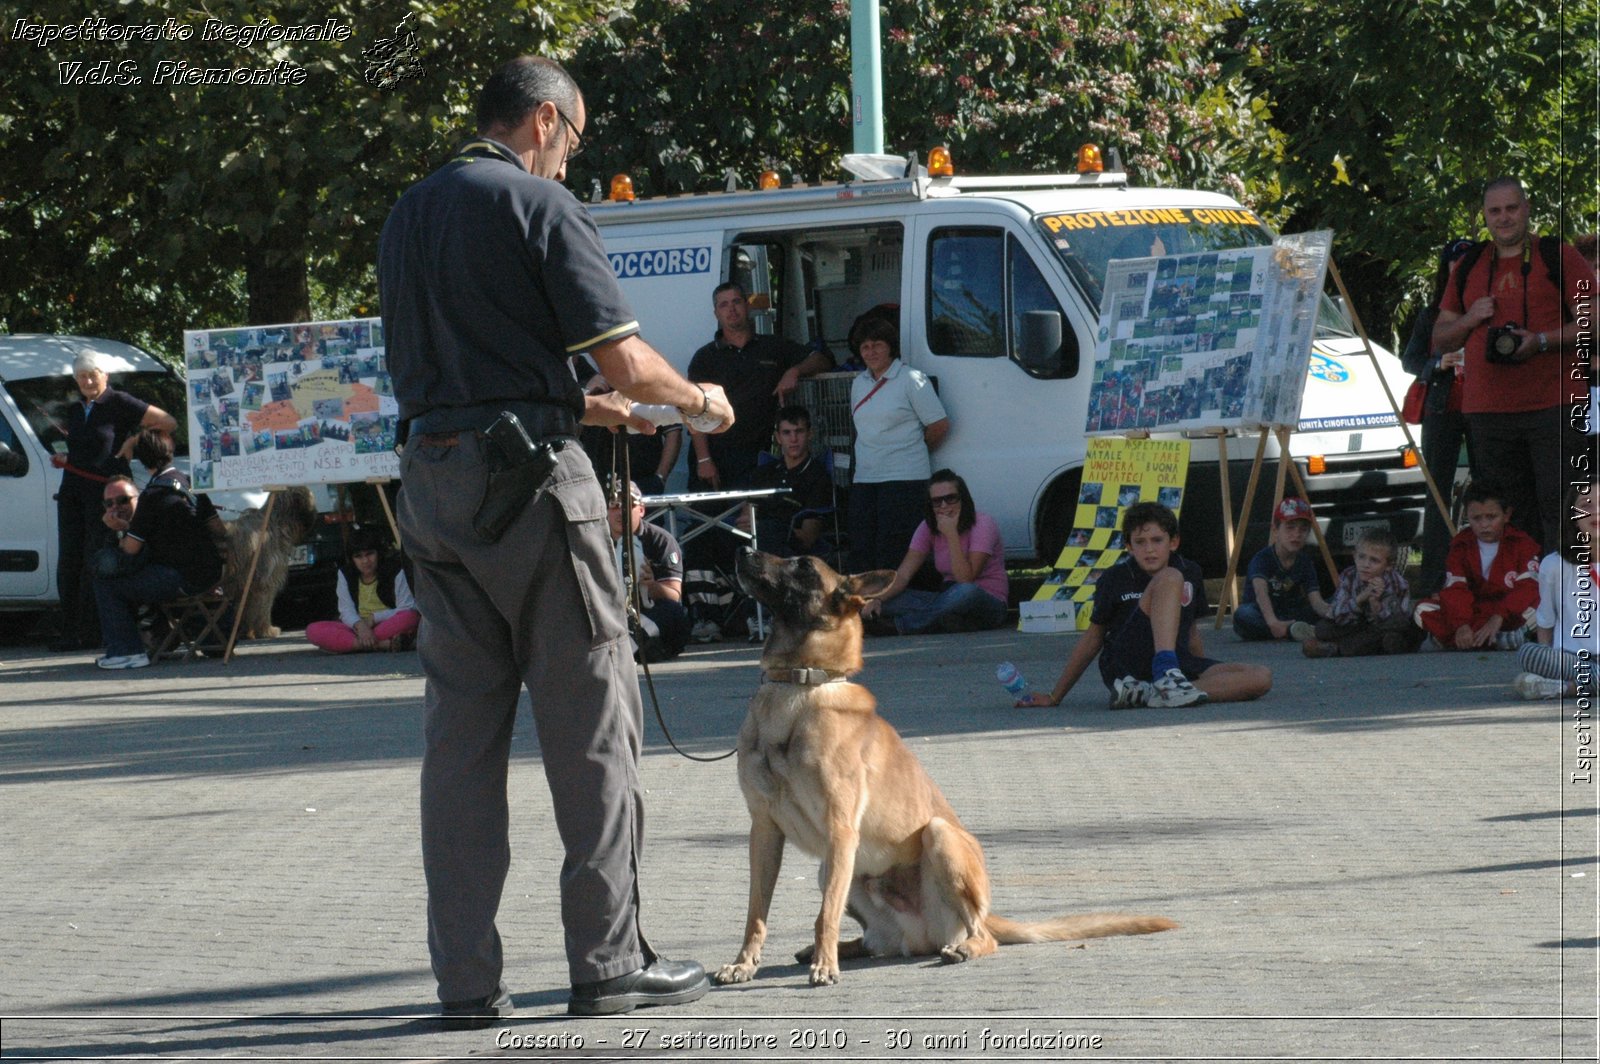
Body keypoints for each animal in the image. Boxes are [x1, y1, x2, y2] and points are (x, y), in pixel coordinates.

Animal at [713, 547, 1177, 985]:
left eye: (805, 566)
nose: (742, 552)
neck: (798, 687)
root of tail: (926, 934)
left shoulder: (840, 829)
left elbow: (823, 914)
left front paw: (824, 968)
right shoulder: (764, 831)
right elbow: (756, 912)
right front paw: (744, 964)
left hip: (934, 837)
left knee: (981, 936)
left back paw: (957, 948)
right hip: (840, 870)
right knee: (875, 940)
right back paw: (837, 949)